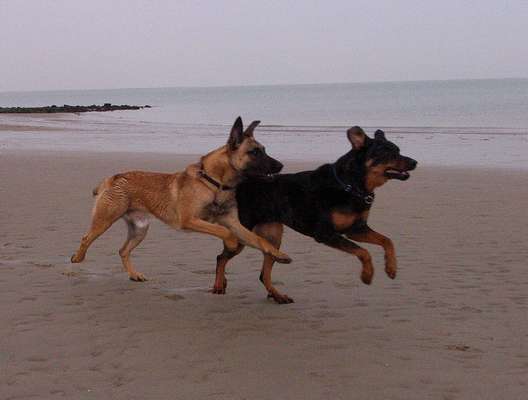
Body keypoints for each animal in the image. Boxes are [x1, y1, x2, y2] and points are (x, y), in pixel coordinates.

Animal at [71, 116, 292, 281]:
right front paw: (230, 244)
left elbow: (259, 239)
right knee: (86, 238)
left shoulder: (233, 223)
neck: (215, 183)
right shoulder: (190, 220)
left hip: (140, 229)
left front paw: (278, 254)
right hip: (105, 220)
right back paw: (77, 257)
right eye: (254, 152)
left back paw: (134, 275)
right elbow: (223, 232)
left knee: (123, 251)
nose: (281, 166)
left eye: (264, 150)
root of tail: (111, 178)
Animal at [212, 126, 417, 303]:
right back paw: (219, 285)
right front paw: (367, 275)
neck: (352, 185)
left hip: (272, 236)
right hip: (240, 233)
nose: (415, 162)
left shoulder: (356, 229)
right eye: (388, 153)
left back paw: (277, 296)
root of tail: (238, 184)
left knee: (263, 273)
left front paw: (391, 268)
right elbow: (363, 251)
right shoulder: (325, 233)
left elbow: (387, 240)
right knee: (221, 257)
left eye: (398, 150)